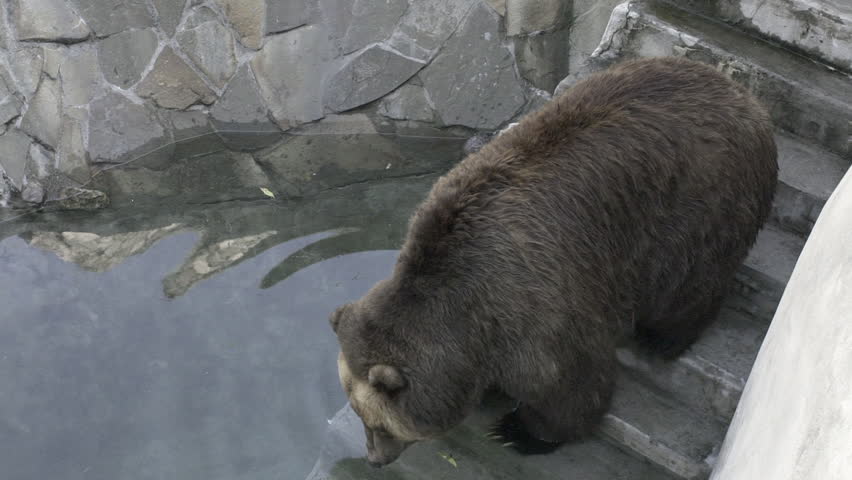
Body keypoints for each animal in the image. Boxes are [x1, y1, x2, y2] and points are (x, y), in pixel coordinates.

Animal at [330, 56, 778, 467]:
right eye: (362, 415)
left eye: (379, 422)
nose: (375, 457)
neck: (467, 316)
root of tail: (744, 95)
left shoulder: (536, 305)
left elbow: (568, 384)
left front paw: (519, 431)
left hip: (697, 205)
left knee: (689, 282)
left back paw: (661, 339)